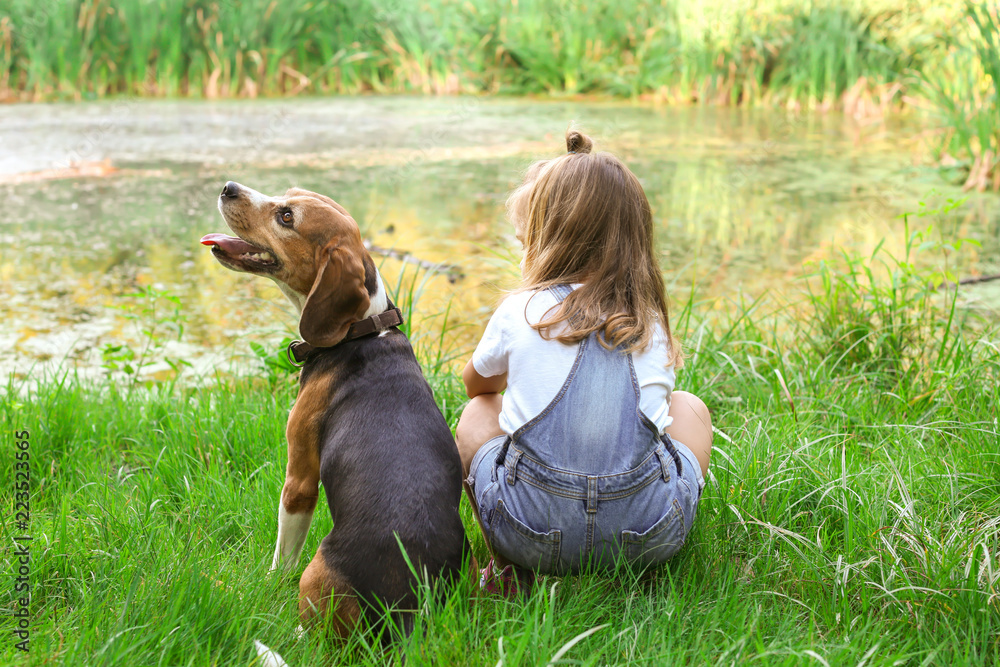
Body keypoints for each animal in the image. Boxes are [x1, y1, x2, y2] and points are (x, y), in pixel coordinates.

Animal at [203, 180, 472, 640]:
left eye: (287, 217)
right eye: (286, 194)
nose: (228, 187)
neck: (361, 329)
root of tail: (404, 614)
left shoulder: (299, 479)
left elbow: (282, 554)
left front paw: (267, 584)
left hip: (318, 572)